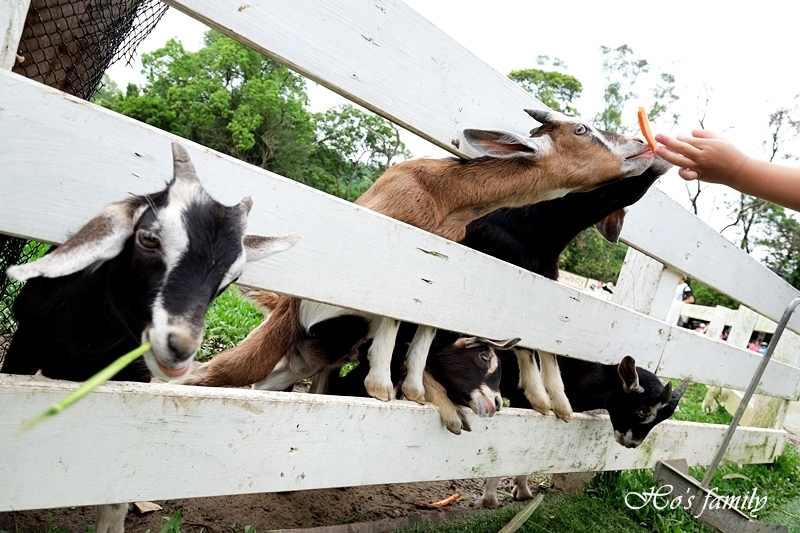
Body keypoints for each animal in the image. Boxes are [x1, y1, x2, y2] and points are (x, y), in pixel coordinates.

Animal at [184, 107, 660, 408]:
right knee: (211, 374)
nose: (643, 144)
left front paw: (410, 389)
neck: (447, 196)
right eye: (581, 130)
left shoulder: (438, 263)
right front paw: (382, 386)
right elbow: (393, 313)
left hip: (306, 355)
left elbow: (424, 322)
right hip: (276, 336)